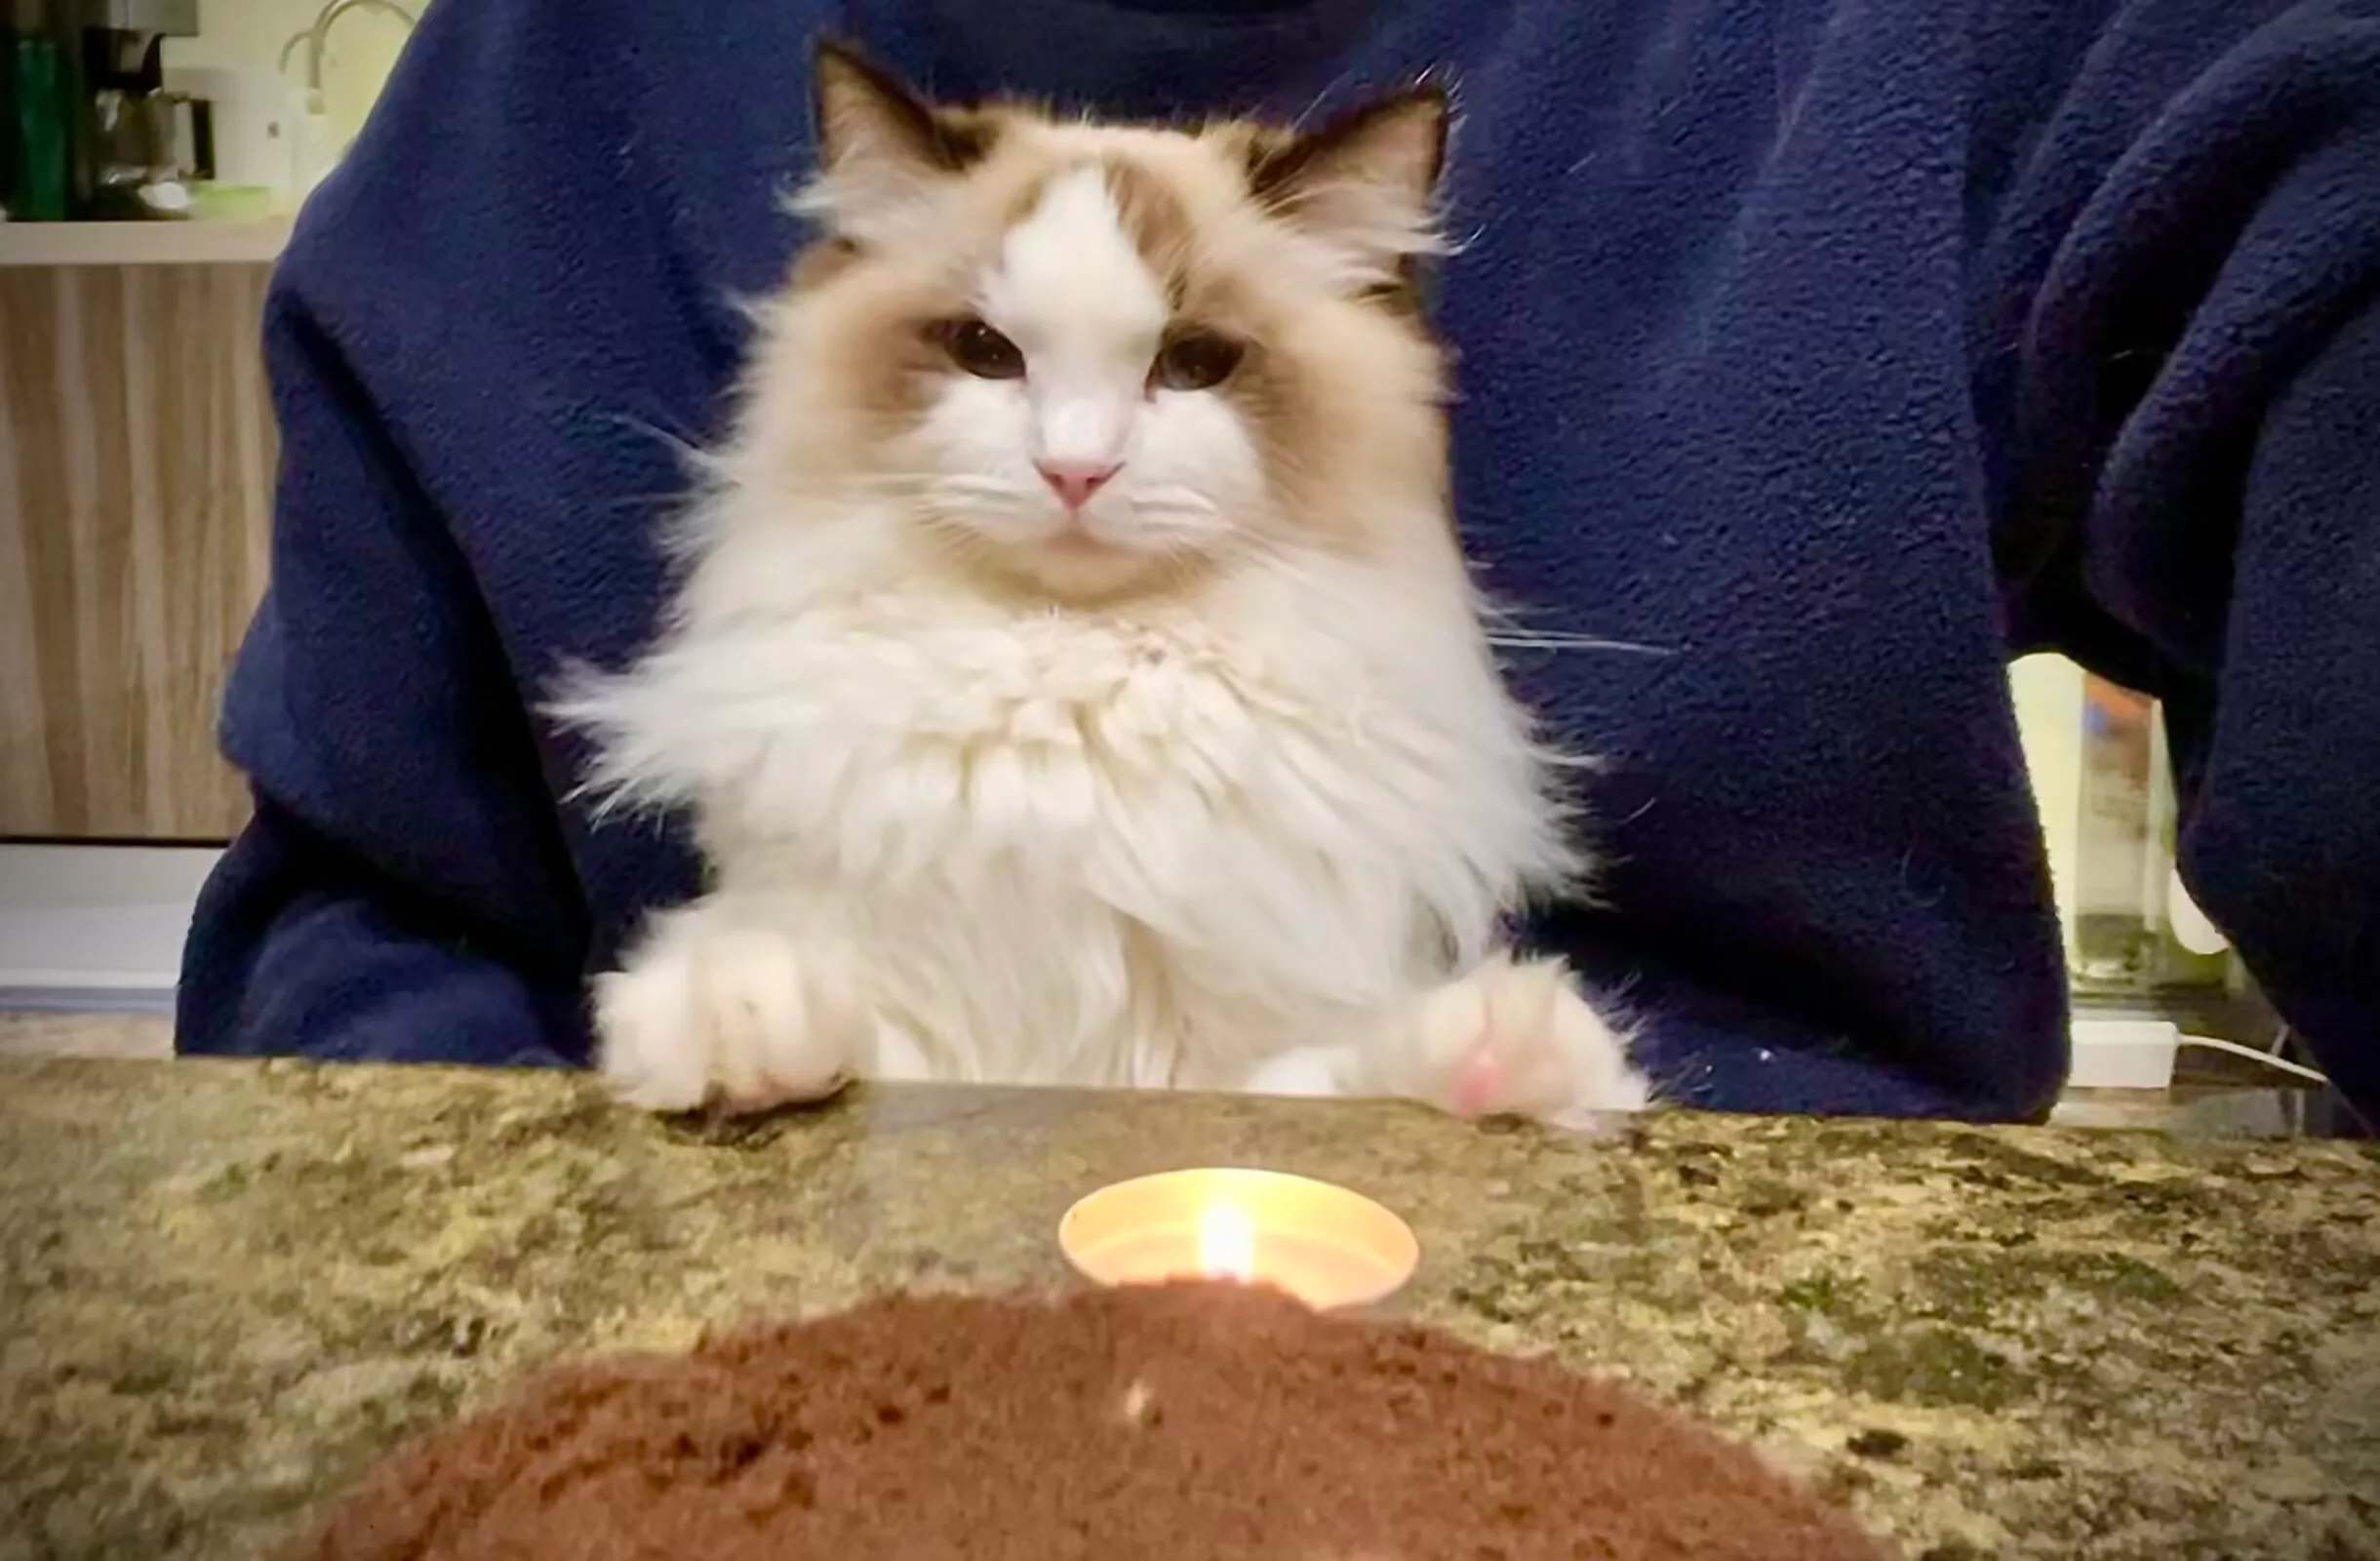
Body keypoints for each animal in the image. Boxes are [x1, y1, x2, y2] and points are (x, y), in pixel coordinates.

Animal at [553, 40, 1653, 1125]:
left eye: (1195, 361)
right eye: (986, 353)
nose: (1074, 470)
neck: (1073, 694)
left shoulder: (1237, 1060)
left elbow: (1335, 1074)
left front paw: (1502, 1061)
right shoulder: (928, 1040)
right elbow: (818, 1018)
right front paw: (734, 1021)